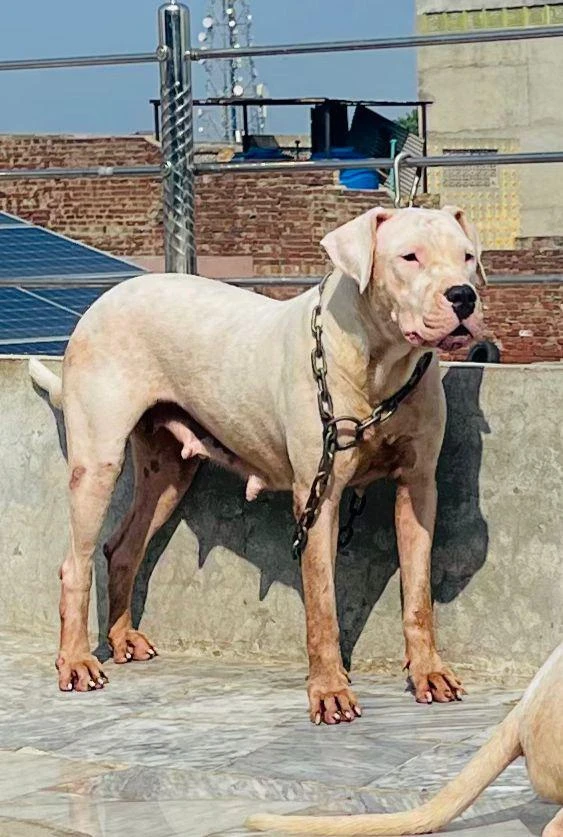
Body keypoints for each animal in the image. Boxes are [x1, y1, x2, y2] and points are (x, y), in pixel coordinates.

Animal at [30, 206, 486, 720]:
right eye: (409, 257)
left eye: (468, 257)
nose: (463, 295)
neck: (379, 366)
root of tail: (106, 298)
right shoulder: (318, 494)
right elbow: (322, 603)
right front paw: (329, 689)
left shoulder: (419, 486)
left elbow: (419, 593)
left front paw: (429, 671)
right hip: (98, 461)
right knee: (76, 563)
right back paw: (76, 661)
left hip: (167, 475)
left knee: (124, 547)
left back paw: (122, 638)